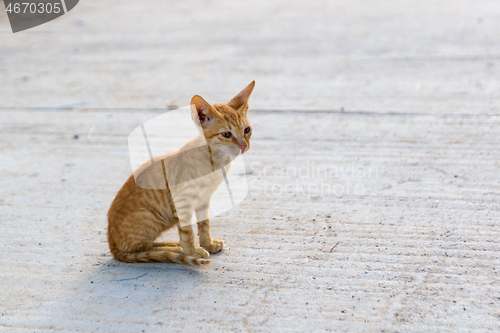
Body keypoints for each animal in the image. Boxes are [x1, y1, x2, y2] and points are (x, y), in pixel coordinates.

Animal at [105, 81, 254, 266]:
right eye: (226, 134)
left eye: (247, 130)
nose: (244, 146)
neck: (216, 160)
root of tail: (111, 244)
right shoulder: (182, 201)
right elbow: (187, 232)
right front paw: (192, 252)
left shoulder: (204, 200)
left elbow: (204, 224)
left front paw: (207, 244)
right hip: (150, 216)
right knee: (139, 249)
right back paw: (175, 249)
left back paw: (173, 246)